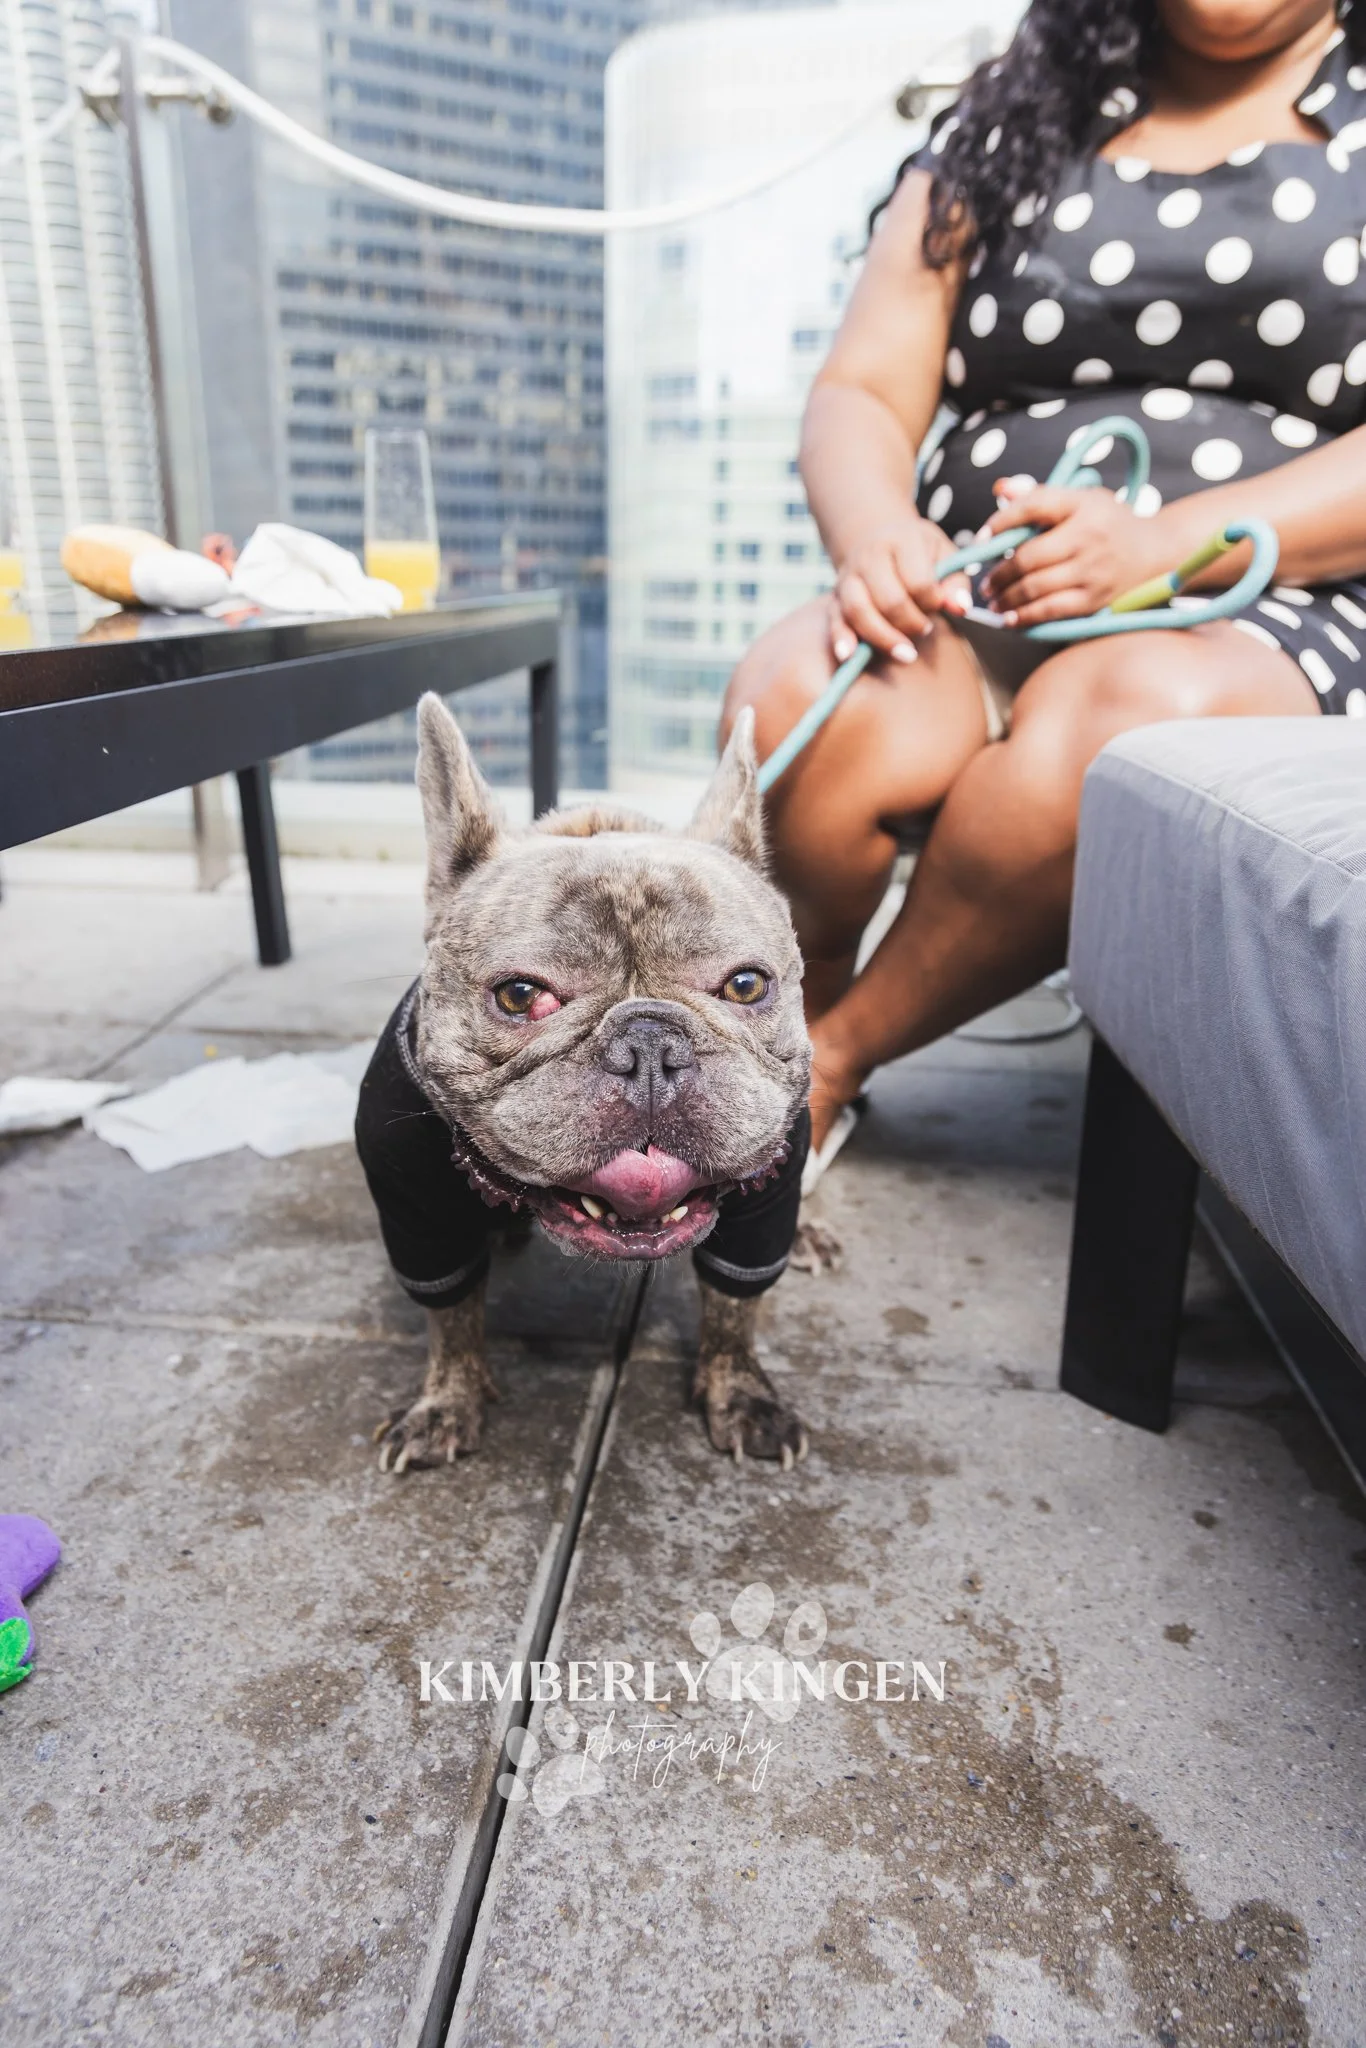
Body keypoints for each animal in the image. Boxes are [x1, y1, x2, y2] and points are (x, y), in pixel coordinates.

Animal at [354, 692, 812, 1472]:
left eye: (747, 986)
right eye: (519, 996)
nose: (650, 1044)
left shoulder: (764, 1209)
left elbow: (734, 1308)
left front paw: (743, 1394)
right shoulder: (417, 1215)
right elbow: (450, 1316)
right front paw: (446, 1402)